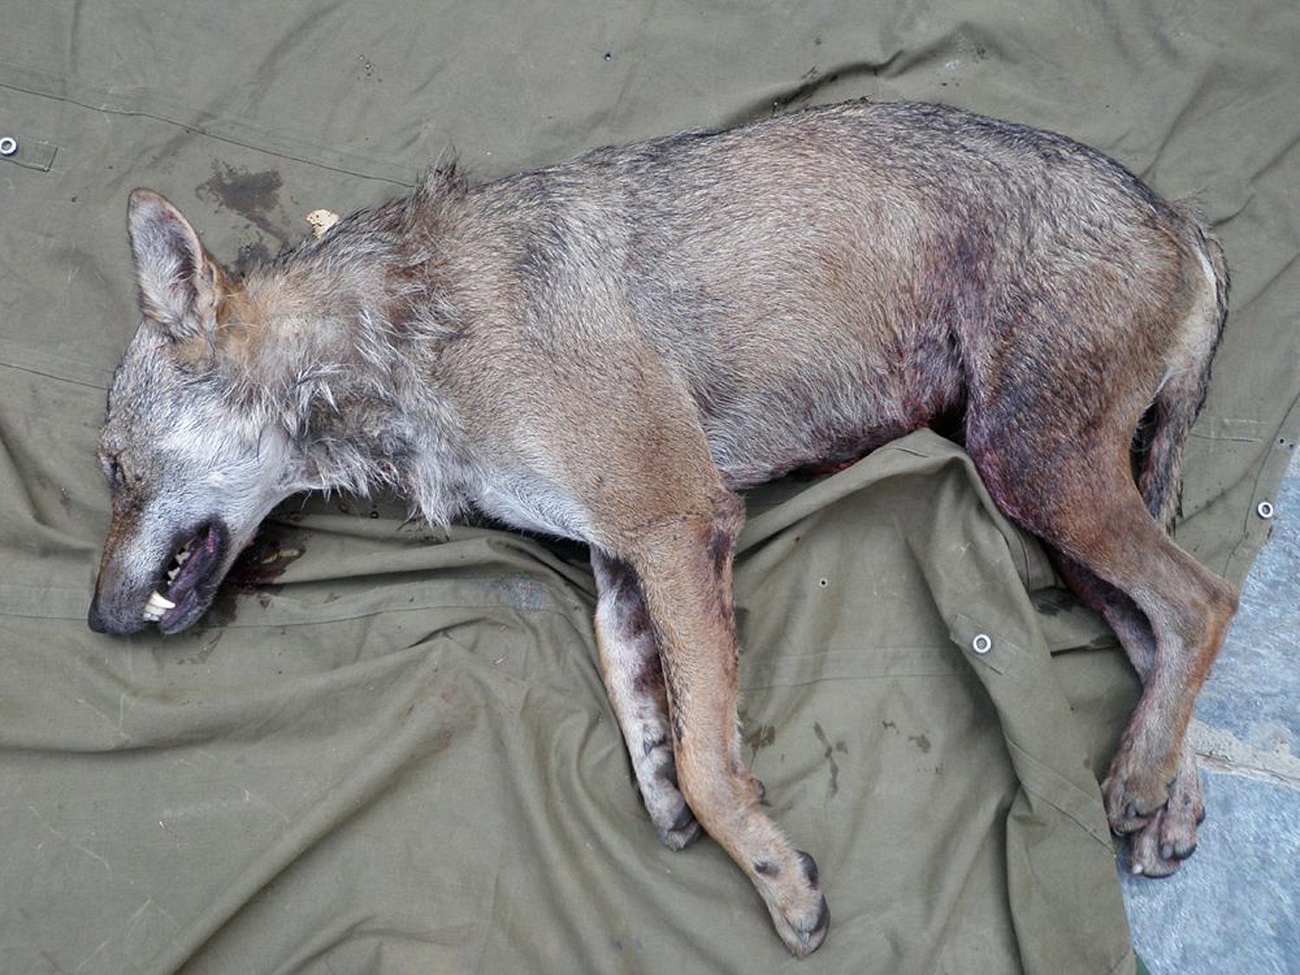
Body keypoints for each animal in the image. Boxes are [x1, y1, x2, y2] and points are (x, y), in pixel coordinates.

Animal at [88, 100, 1238, 956]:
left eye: (113, 467)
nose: (97, 620)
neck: (397, 335)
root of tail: (1182, 220)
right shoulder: (619, 563)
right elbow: (654, 726)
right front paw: (677, 808)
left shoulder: (679, 524)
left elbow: (705, 758)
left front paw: (779, 883)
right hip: (1048, 508)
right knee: (1155, 633)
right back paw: (1165, 795)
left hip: (1031, 472)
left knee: (1202, 599)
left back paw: (1138, 780)